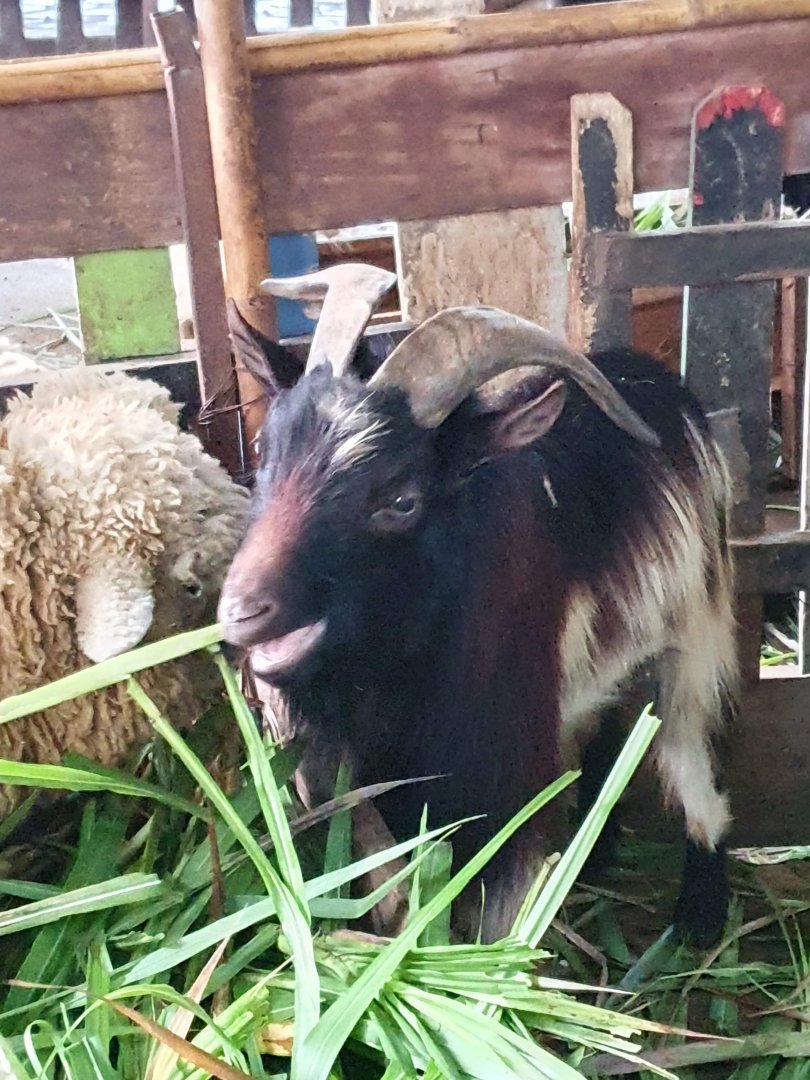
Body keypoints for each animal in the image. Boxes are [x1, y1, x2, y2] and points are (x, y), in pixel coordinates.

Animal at [218, 264, 737, 947]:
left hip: (694, 630)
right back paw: (596, 853)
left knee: (688, 747)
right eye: (263, 452)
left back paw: (700, 913)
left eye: (402, 500)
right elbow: (388, 890)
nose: (241, 610)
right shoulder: (356, 781)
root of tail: (651, 375)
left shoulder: (502, 781)